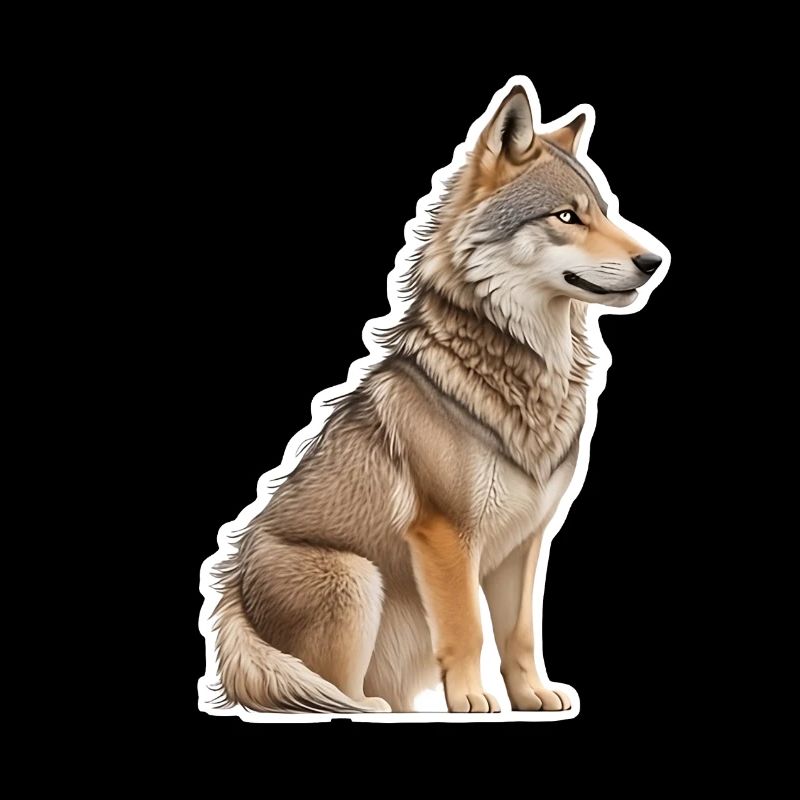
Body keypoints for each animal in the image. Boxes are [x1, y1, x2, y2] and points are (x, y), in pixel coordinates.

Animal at [204, 83, 664, 714]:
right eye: (567, 216)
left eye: (606, 210)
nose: (656, 261)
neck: (526, 373)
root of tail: (231, 596)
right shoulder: (445, 535)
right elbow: (468, 627)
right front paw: (471, 700)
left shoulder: (527, 543)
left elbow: (519, 632)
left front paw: (531, 697)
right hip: (356, 577)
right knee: (330, 689)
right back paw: (373, 711)